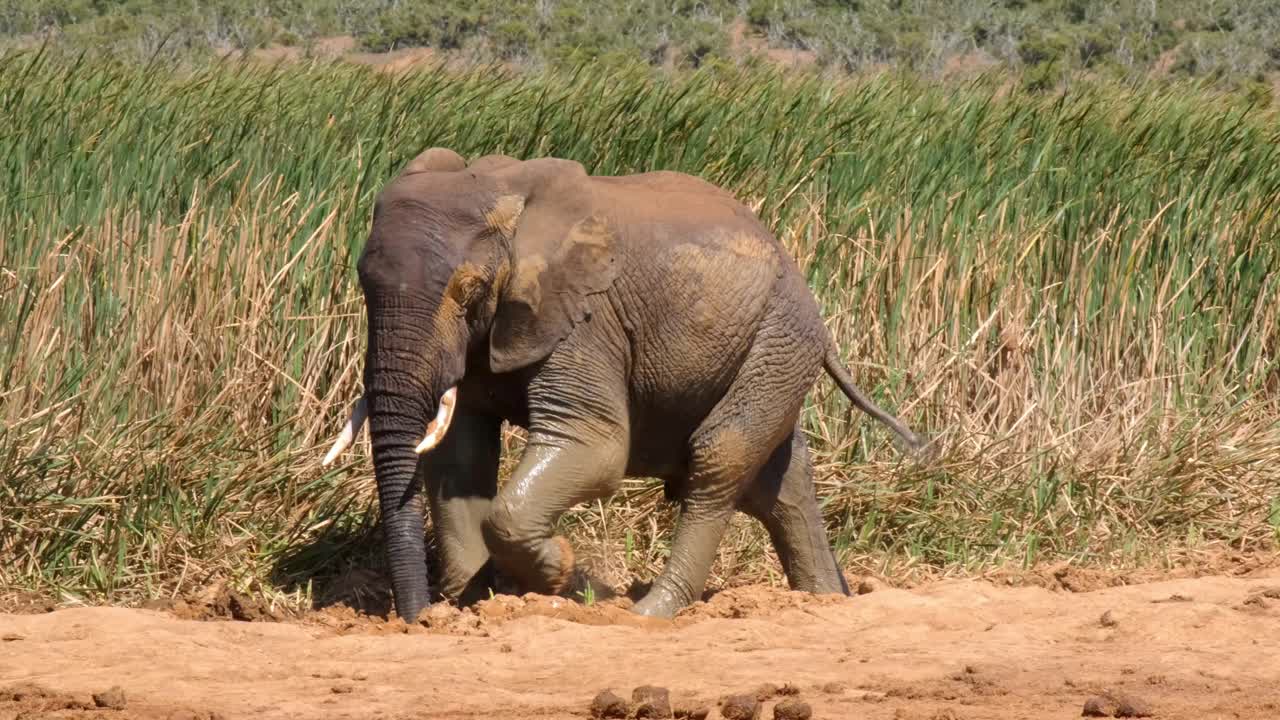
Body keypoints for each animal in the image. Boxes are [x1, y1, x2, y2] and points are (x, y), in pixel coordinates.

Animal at [321, 147, 926, 622]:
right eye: (362, 282)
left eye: (469, 290)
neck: (502, 192)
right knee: (780, 483)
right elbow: (459, 455)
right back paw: (824, 602)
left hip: (778, 338)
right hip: (771, 348)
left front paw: (562, 576)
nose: (416, 618)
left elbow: (595, 446)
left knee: (719, 460)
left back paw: (650, 611)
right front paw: (476, 601)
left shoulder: (587, 321)